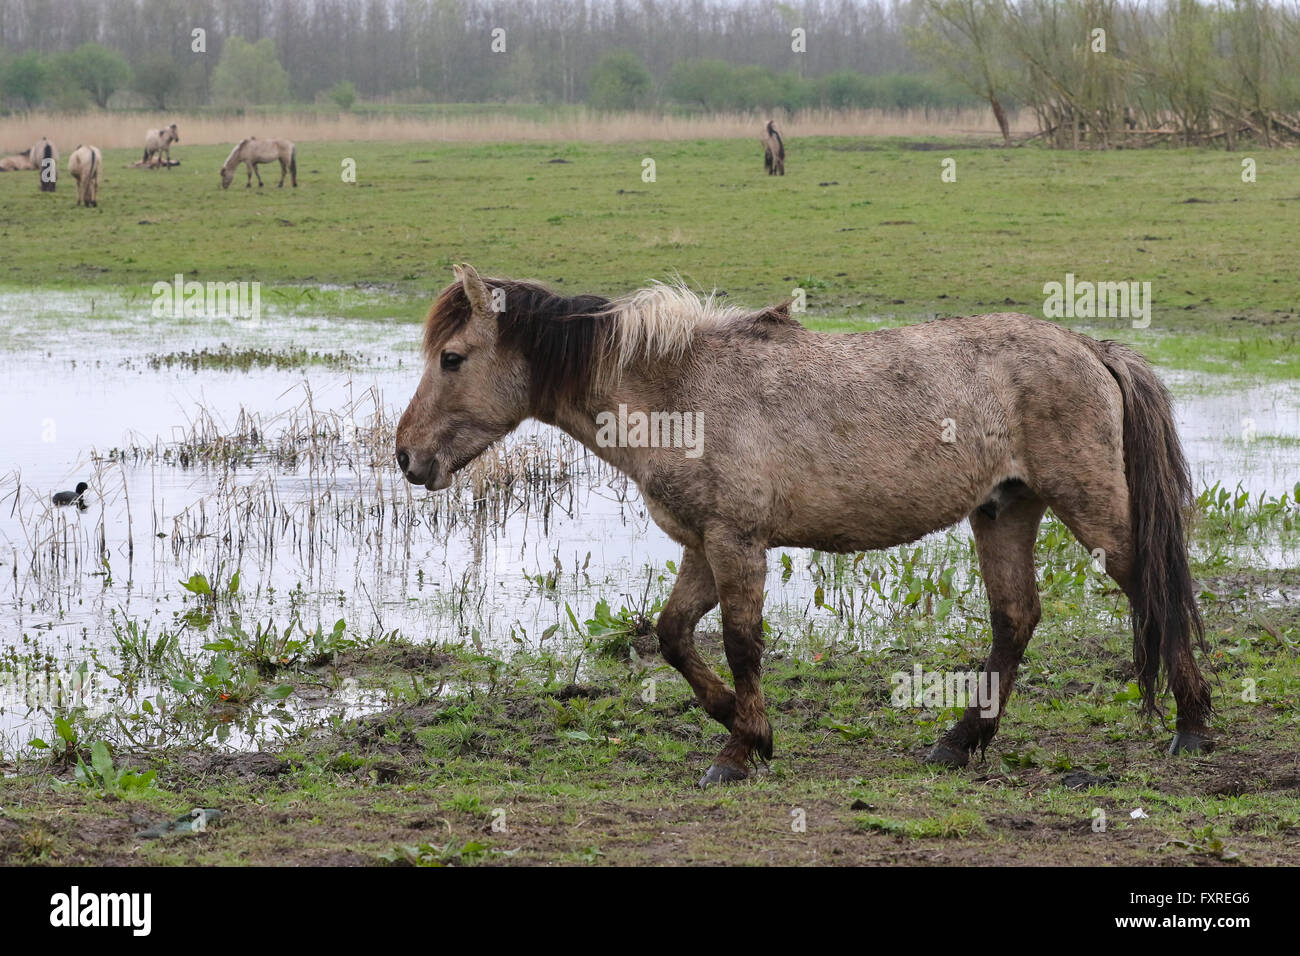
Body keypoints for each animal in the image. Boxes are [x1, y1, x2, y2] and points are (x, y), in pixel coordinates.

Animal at [396, 265, 1215, 787]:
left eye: (453, 357)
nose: (406, 456)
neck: (679, 391)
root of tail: (1089, 349)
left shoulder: (736, 542)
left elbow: (740, 643)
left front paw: (739, 751)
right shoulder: (703, 545)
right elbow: (672, 635)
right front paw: (743, 728)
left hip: (1091, 509)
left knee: (1152, 589)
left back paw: (1193, 725)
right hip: (1004, 508)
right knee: (1015, 618)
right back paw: (958, 743)